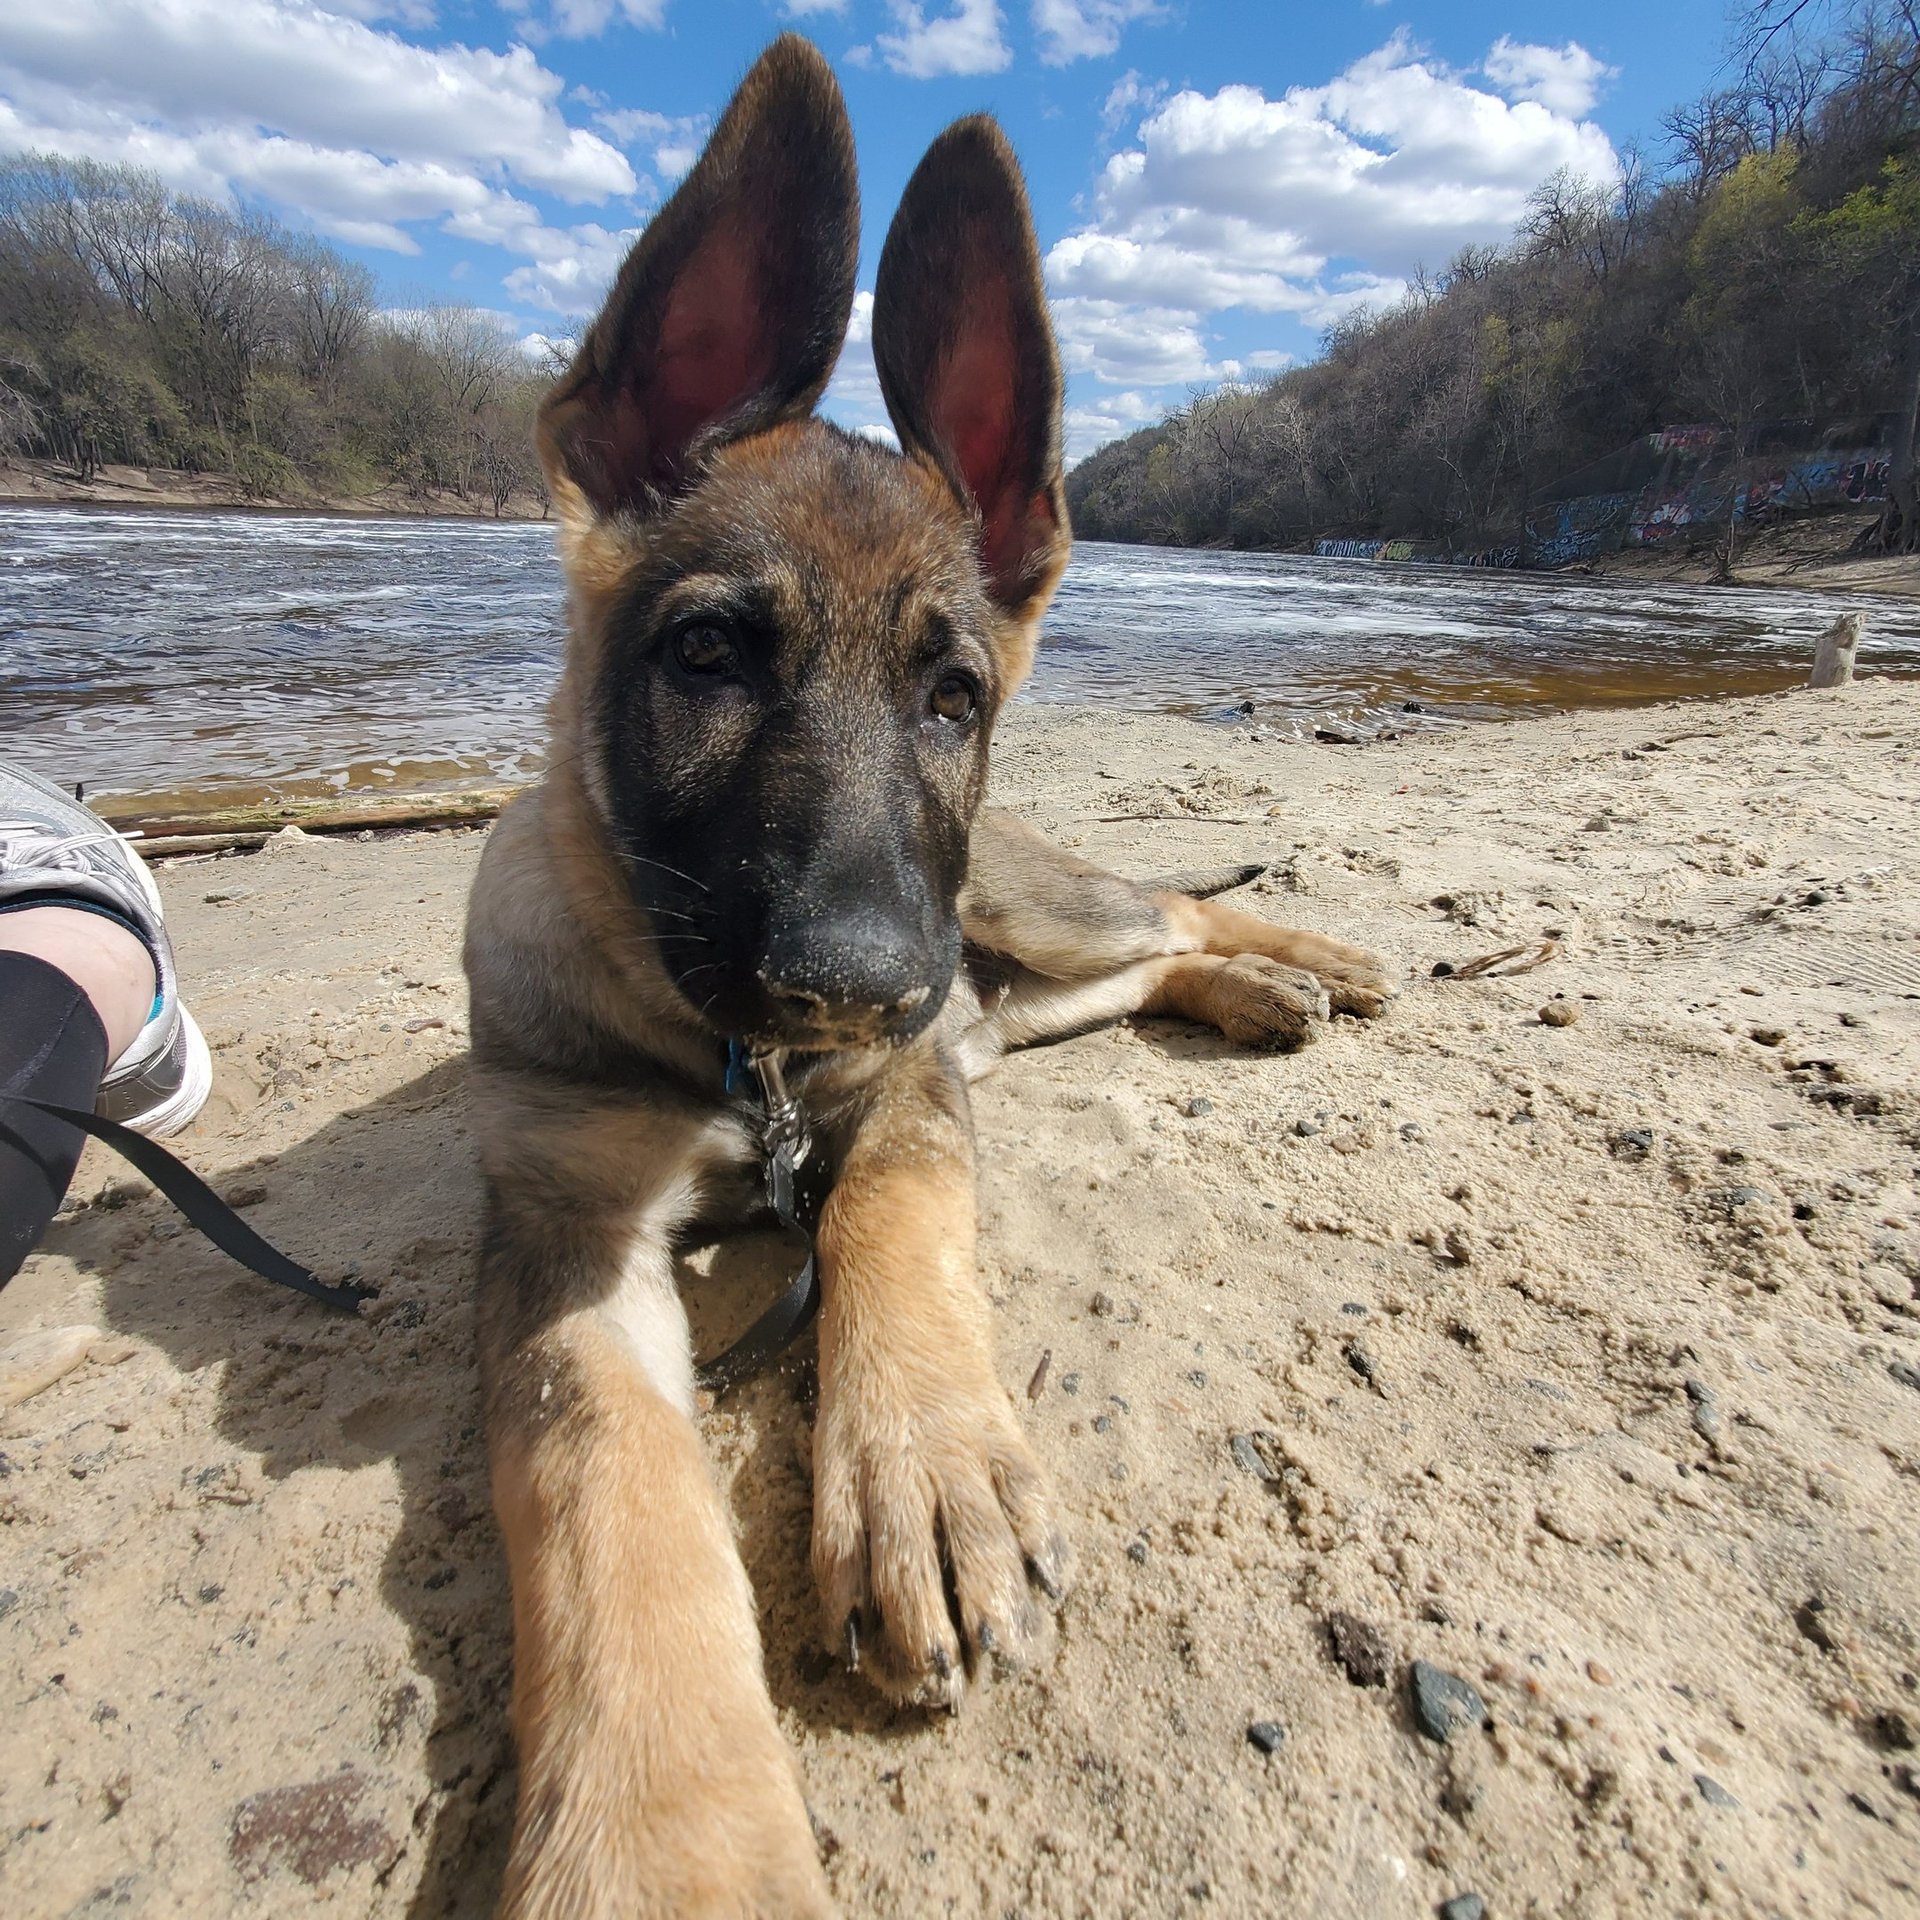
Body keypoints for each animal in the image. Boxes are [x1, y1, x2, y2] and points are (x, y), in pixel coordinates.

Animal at [464, 33, 1397, 1920]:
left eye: (952, 696)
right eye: (705, 655)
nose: (858, 975)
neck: (727, 1065)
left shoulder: (897, 1093)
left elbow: (891, 1217)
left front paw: (928, 1469)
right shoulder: (561, 1235)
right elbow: (606, 1488)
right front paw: (665, 1842)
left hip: (1023, 914)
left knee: (1172, 909)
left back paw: (1305, 961)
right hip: (1001, 984)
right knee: (1110, 983)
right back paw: (1266, 1000)